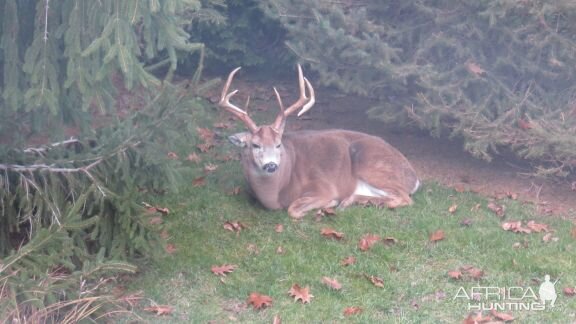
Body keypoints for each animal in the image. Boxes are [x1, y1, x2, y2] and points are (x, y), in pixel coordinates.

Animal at [219, 64, 418, 219]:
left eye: (278, 144)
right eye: (255, 145)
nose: (271, 165)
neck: (278, 191)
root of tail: (414, 177)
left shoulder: (322, 185)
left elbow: (293, 209)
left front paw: (327, 204)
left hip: (370, 162)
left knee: (405, 198)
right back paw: (348, 202)